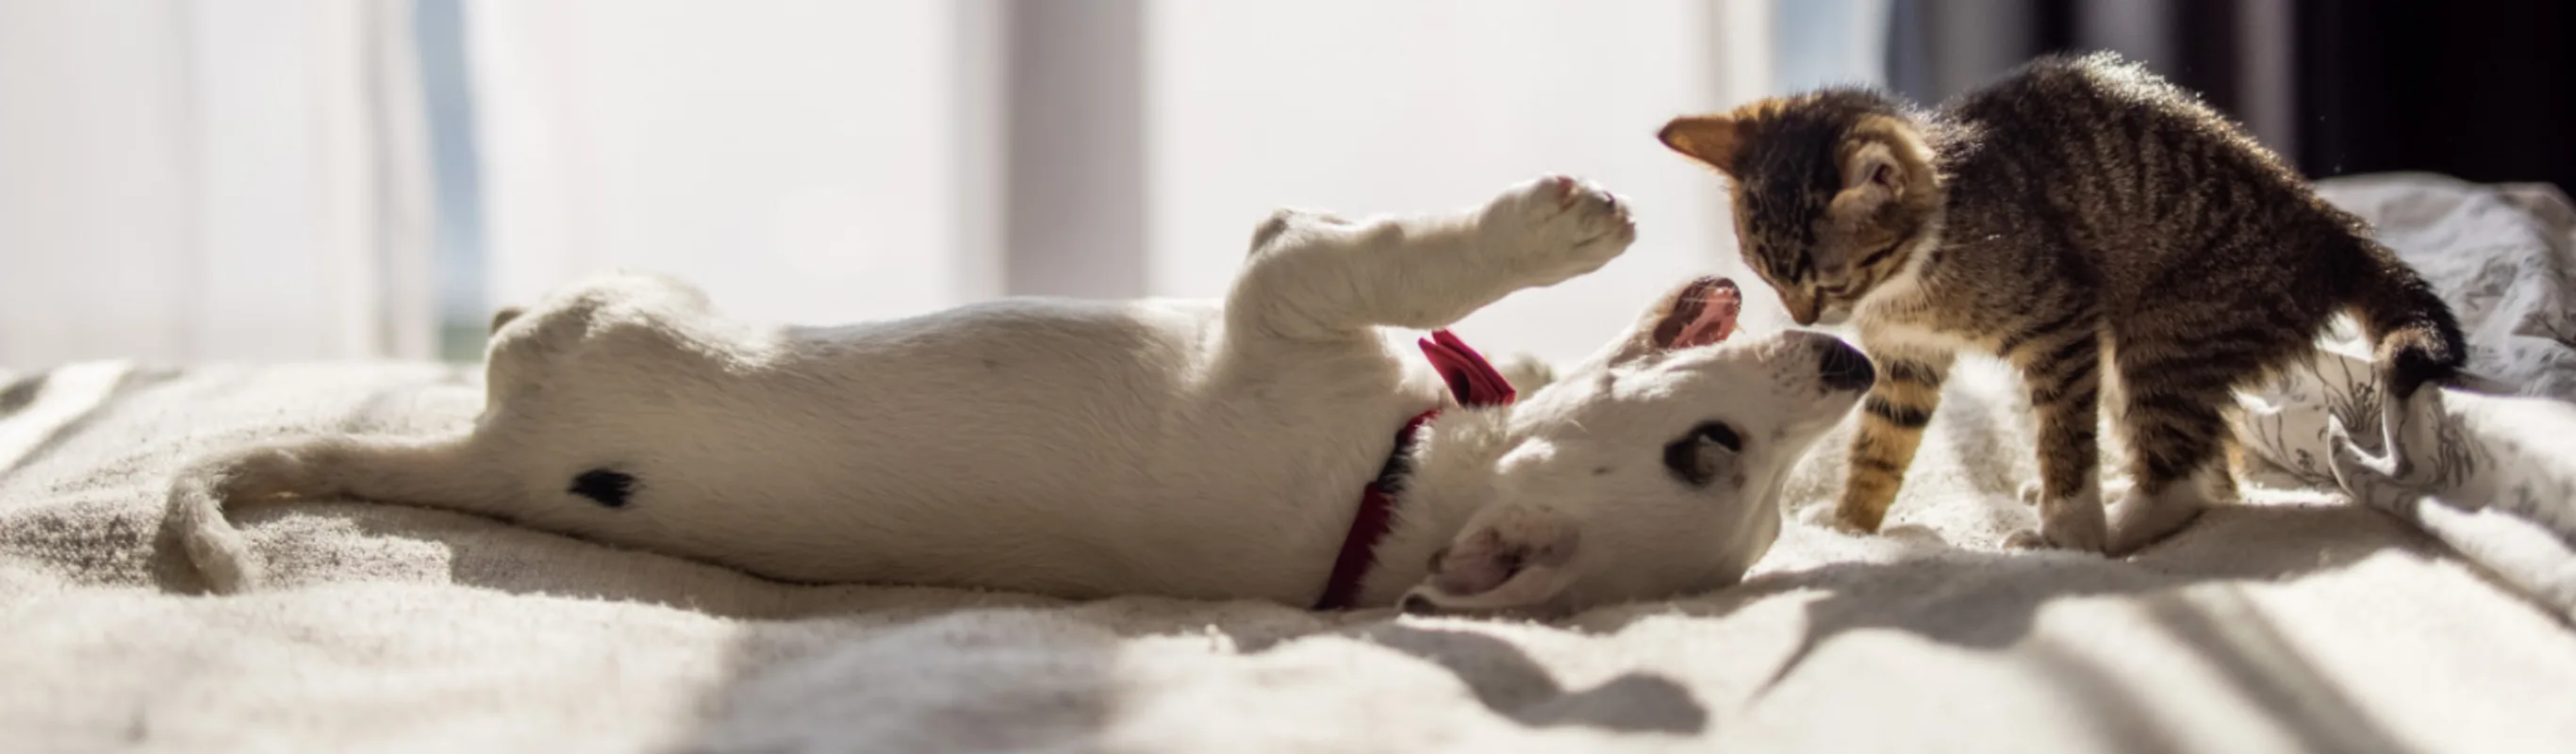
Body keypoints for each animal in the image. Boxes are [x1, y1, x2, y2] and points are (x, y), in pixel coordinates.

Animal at [181, 177, 1874, 617]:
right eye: (1722, 451)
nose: (1854, 364)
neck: (1397, 489)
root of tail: (494, 465)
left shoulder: (1289, 292)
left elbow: (1365, 249)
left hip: (620, 313)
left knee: (539, 320)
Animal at [1659, 49, 2462, 548]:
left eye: (1825, 281)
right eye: (1768, 275)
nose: (1805, 316)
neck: (1916, 272)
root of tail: (2328, 225)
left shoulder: (2060, 322)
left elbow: (2064, 435)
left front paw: (2071, 526)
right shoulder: (1906, 360)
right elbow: (1880, 443)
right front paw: (1852, 527)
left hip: (2169, 325)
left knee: (2181, 473)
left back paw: (2113, 530)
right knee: (2211, 455)